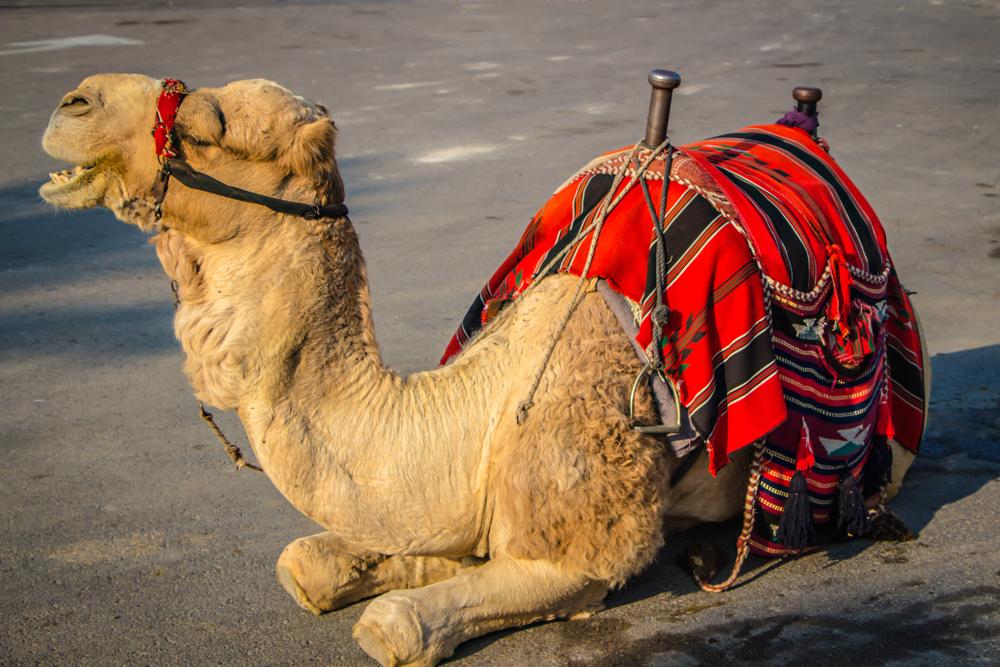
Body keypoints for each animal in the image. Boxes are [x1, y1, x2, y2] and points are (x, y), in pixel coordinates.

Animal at [40, 74, 919, 666]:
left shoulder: (586, 545)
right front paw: (399, 561)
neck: (479, 405)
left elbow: (396, 624)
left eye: (208, 123)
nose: (73, 101)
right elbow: (313, 562)